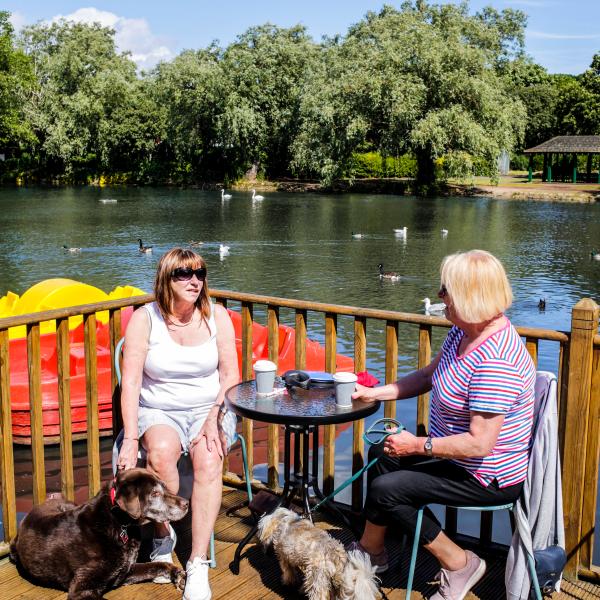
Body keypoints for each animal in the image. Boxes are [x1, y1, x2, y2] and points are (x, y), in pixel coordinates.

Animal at [10, 468, 189, 600]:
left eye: (164, 487)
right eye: (155, 493)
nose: (186, 503)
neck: (119, 523)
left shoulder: (126, 571)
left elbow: (156, 565)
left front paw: (178, 574)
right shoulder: (82, 588)